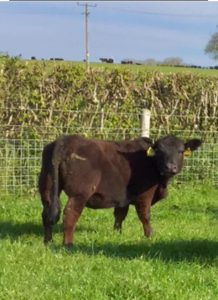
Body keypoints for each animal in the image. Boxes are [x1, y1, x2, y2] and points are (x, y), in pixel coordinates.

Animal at [38, 135, 202, 247]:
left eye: (181, 151)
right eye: (160, 151)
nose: (170, 167)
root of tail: (64, 140)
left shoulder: (123, 197)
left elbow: (120, 215)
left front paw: (117, 234)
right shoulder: (144, 195)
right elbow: (145, 216)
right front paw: (149, 236)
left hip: (47, 187)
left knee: (47, 213)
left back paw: (48, 241)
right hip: (79, 193)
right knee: (70, 214)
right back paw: (68, 244)